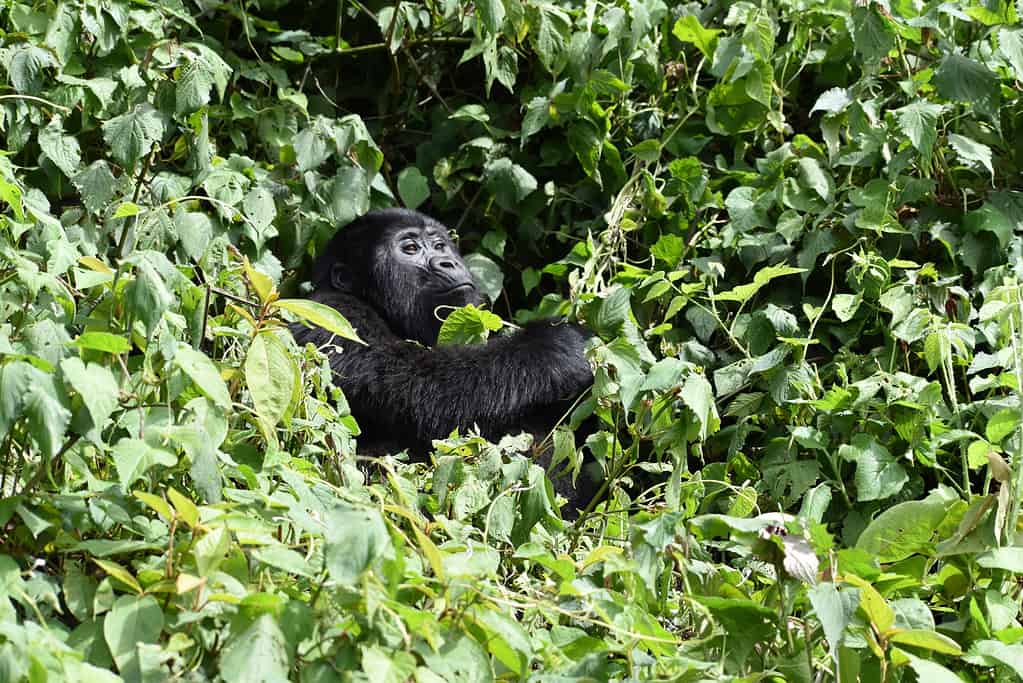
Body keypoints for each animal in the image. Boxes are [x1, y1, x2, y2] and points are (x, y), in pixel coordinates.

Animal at [288, 209, 597, 507]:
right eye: (410, 248)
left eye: (440, 246)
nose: (448, 263)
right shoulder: (333, 314)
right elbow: (420, 386)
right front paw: (555, 346)